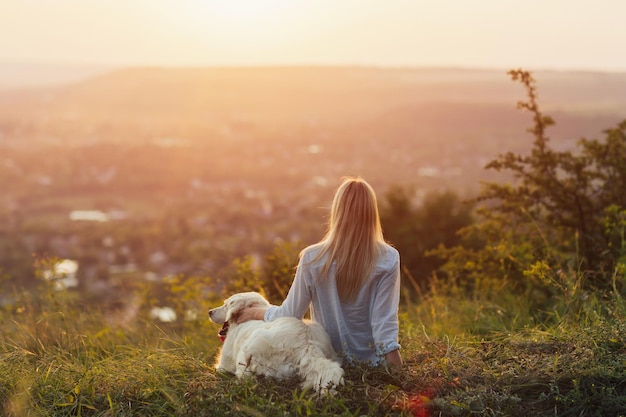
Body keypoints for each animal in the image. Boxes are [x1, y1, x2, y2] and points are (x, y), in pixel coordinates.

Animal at [212, 290, 344, 392]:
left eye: (225, 305)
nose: (209, 312)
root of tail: (307, 343)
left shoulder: (225, 362)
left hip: (246, 353)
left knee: (246, 376)